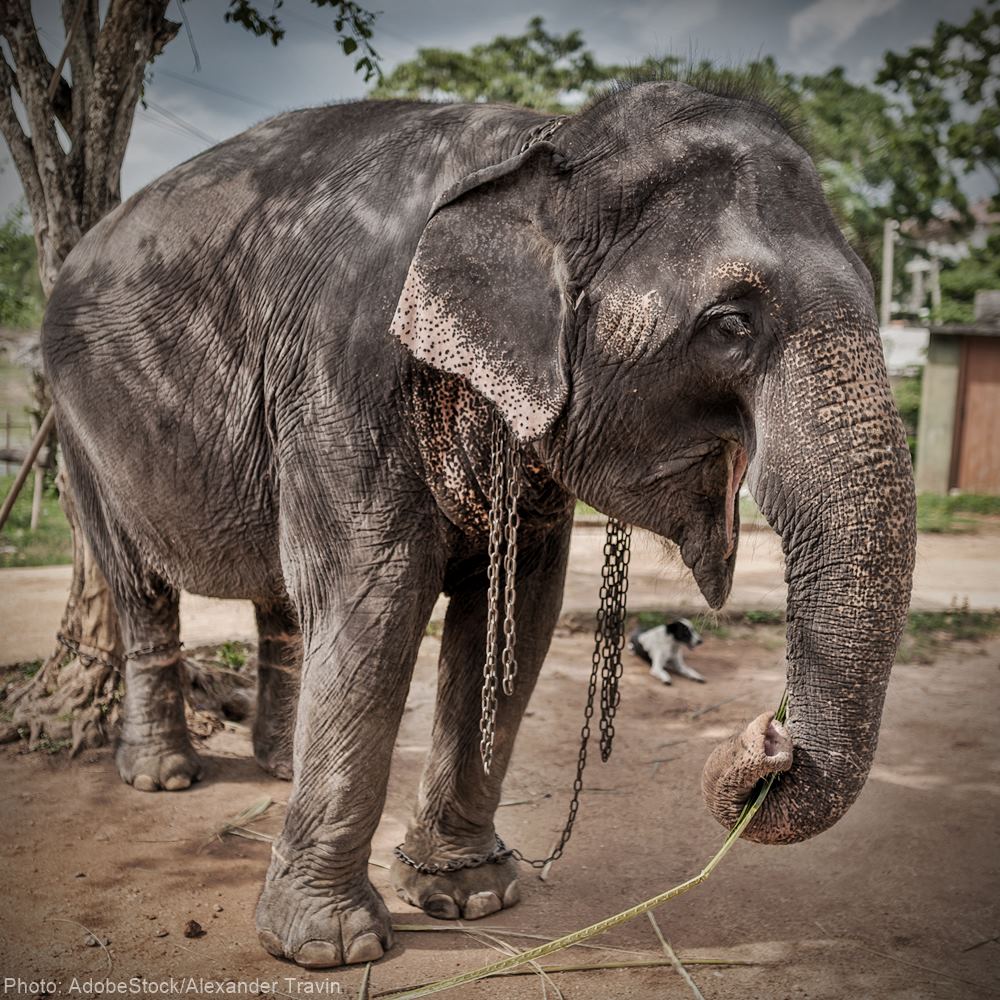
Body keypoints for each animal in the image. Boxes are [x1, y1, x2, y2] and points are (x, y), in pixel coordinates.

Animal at [41, 80, 916, 969]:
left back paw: (279, 766)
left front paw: (472, 897)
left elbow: (518, 614)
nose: (770, 737)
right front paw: (332, 947)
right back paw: (163, 775)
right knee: (139, 584)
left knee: (281, 595)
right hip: (77, 425)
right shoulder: (340, 371)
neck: (547, 143)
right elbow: (378, 601)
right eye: (732, 323)